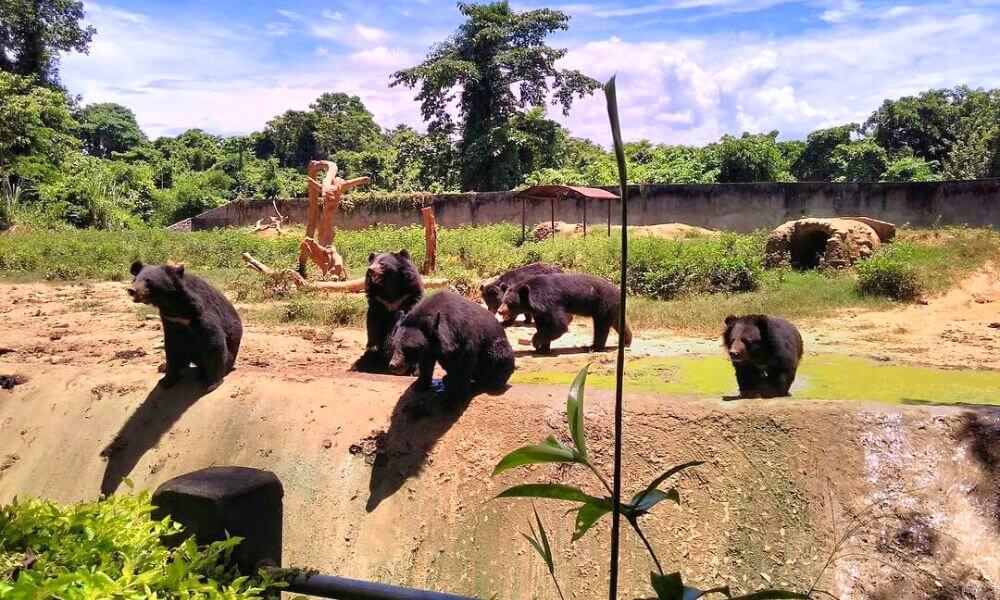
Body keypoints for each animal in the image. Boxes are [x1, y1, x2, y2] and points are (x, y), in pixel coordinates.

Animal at [128, 260, 243, 392]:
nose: (131, 290)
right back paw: (163, 366)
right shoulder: (170, 319)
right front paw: (167, 380)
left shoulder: (199, 312)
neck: (171, 302)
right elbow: (172, 345)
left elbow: (214, 340)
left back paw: (202, 373)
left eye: (147, 280)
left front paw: (211, 383)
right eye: (135, 279)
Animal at [388, 290, 520, 398]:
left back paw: (491, 382)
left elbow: (465, 362)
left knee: (499, 358)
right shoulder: (430, 349)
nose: (393, 365)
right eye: (394, 346)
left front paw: (456, 393)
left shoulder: (463, 337)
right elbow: (426, 364)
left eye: (408, 348)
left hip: (498, 348)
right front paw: (419, 384)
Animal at [500, 272, 632, 352]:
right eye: (502, 300)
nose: (500, 311)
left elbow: (559, 324)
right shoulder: (541, 312)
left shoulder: (551, 303)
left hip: (603, 304)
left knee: (601, 326)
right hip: (613, 308)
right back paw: (627, 341)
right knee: (619, 323)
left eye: (510, 303)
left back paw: (594, 347)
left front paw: (536, 342)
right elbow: (543, 325)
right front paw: (543, 348)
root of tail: (619, 292)